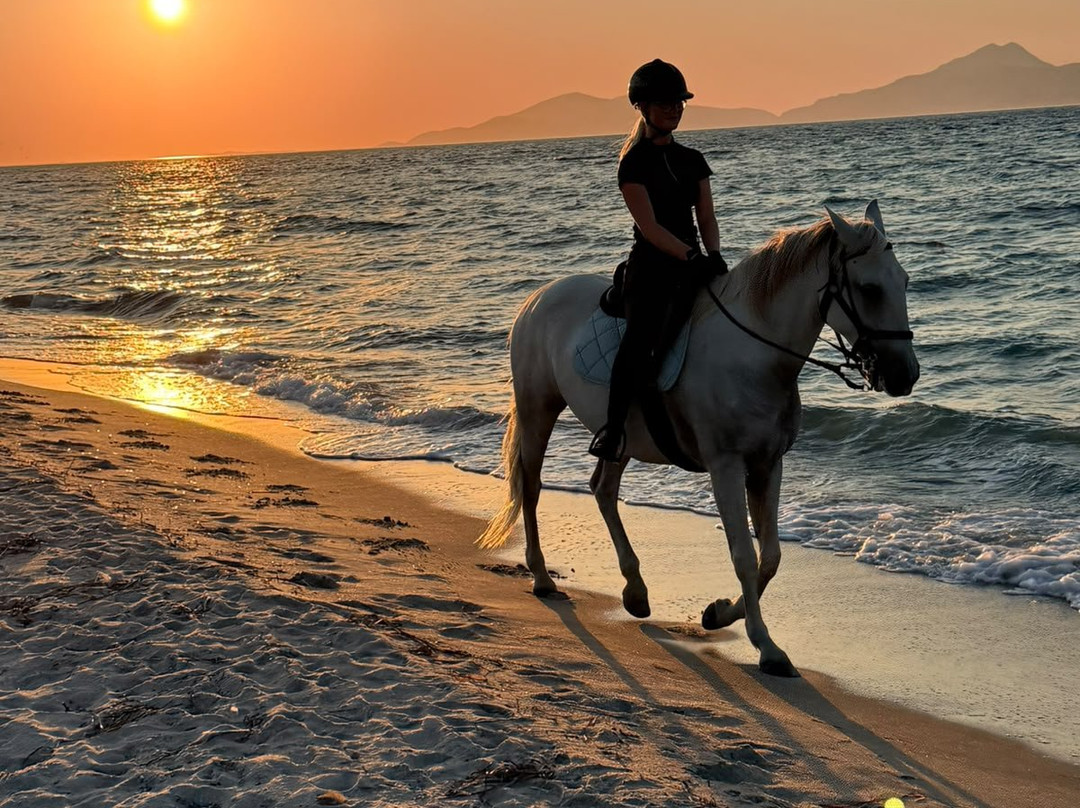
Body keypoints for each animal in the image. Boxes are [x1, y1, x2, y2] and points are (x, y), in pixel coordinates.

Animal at [478, 201, 919, 677]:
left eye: (904, 281)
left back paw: (635, 591)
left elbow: (770, 557)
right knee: (532, 487)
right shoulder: (725, 465)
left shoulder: (768, 464)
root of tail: (538, 297)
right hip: (538, 409)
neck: (755, 355)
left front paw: (719, 613)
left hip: (619, 438)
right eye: (870, 289)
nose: (905, 375)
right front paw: (767, 647)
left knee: (603, 490)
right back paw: (542, 577)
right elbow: (743, 555)